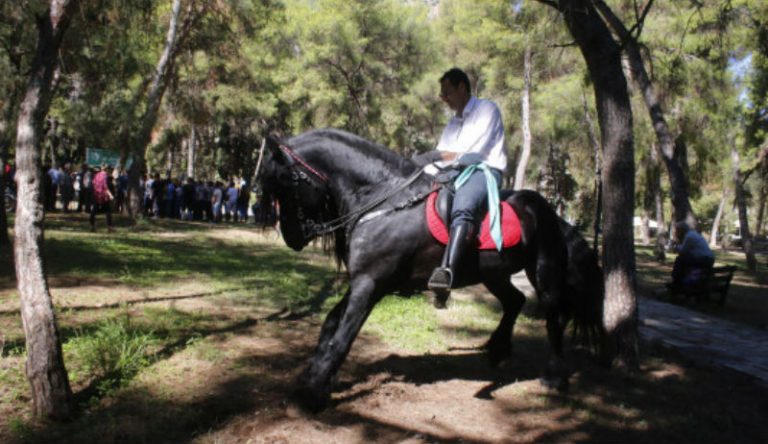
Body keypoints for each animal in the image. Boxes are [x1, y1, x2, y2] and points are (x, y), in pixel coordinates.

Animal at [258, 128, 608, 412]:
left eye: (288, 182)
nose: (292, 237)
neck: (385, 201)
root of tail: (554, 214)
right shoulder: (362, 281)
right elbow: (330, 324)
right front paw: (314, 377)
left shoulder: (371, 284)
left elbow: (342, 337)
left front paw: (313, 393)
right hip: (493, 274)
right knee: (515, 302)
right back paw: (497, 349)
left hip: (543, 271)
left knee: (554, 317)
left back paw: (554, 377)